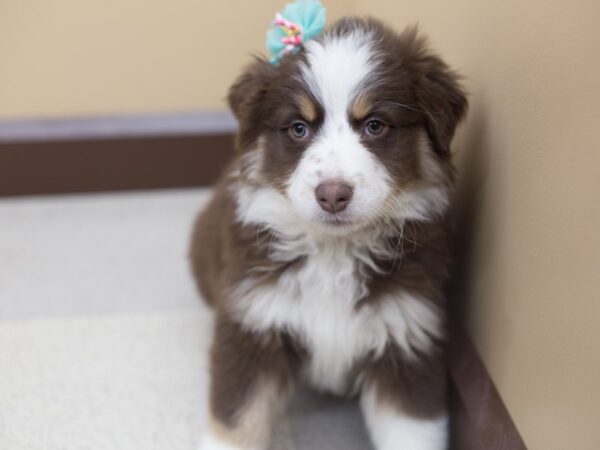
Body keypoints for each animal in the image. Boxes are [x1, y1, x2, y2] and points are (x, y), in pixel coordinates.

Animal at [192, 16, 468, 450]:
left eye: (375, 125)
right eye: (298, 128)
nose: (333, 195)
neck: (335, 252)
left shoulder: (407, 335)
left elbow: (412, 429)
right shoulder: (252, 324)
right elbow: (237, 420)